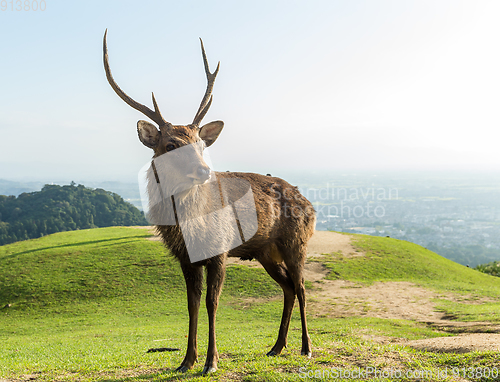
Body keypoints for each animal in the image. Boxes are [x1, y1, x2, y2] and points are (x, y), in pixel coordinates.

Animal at [102, 30, 316, 376]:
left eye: (201, 143)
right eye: (170, 145)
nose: (204, 170)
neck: (191, 226)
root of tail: (309, 203)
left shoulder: (219, 250)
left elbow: (211, 303)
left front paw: (211, 362)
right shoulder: (185, 258)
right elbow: (191, 304)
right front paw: (185, 361)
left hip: (297, 241)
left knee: (301, 288)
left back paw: (306, 348)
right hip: (265, 251)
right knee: (286, 287)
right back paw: (276, 347)